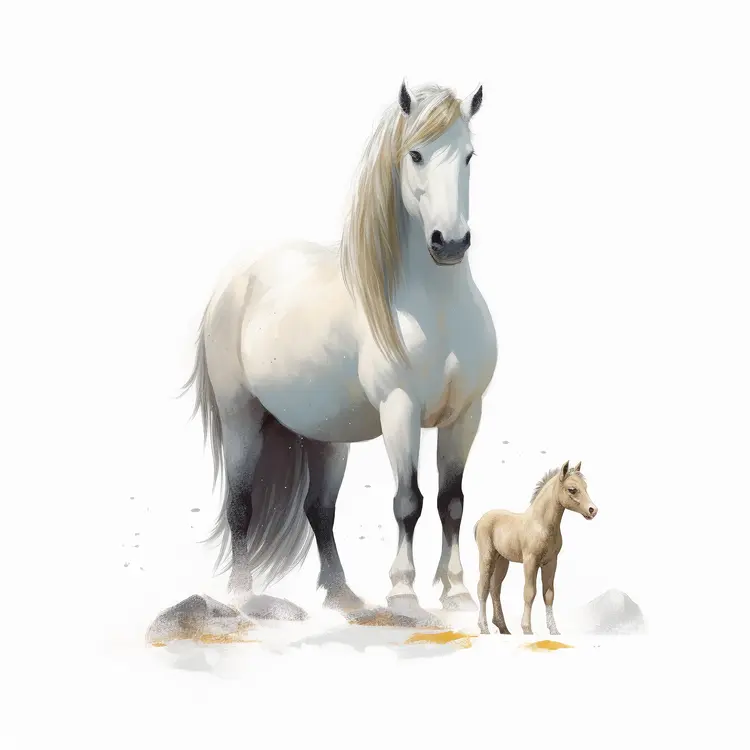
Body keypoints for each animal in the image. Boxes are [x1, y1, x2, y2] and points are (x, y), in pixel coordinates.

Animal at [183, 80, 498, 615]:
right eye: (415, 154)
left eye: (470, 156)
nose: (451, 243)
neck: (436, 307)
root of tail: (233, 280)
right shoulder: (400, 410)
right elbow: (408, 501)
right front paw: (403, 592)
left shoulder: (465, 415)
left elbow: (451, 502)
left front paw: (456, 592)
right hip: (239, 415)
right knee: (241, 503)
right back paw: (244, 593)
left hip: (326, 436)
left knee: (320, 509)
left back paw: (342, 594)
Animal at [473, 461, 598, 635]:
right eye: (572, 489)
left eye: (586, 487)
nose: (593, 510)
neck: (541, 524)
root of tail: (481, 520)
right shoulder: (530, 561)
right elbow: (530, 592)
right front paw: (527, 629)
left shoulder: (551, 562)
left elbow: (549, 594)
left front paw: (554, 630)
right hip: (487, 557)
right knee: (482, 588)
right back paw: (484, 628)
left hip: (502, 561)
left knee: (495, 588)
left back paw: (503, 628)